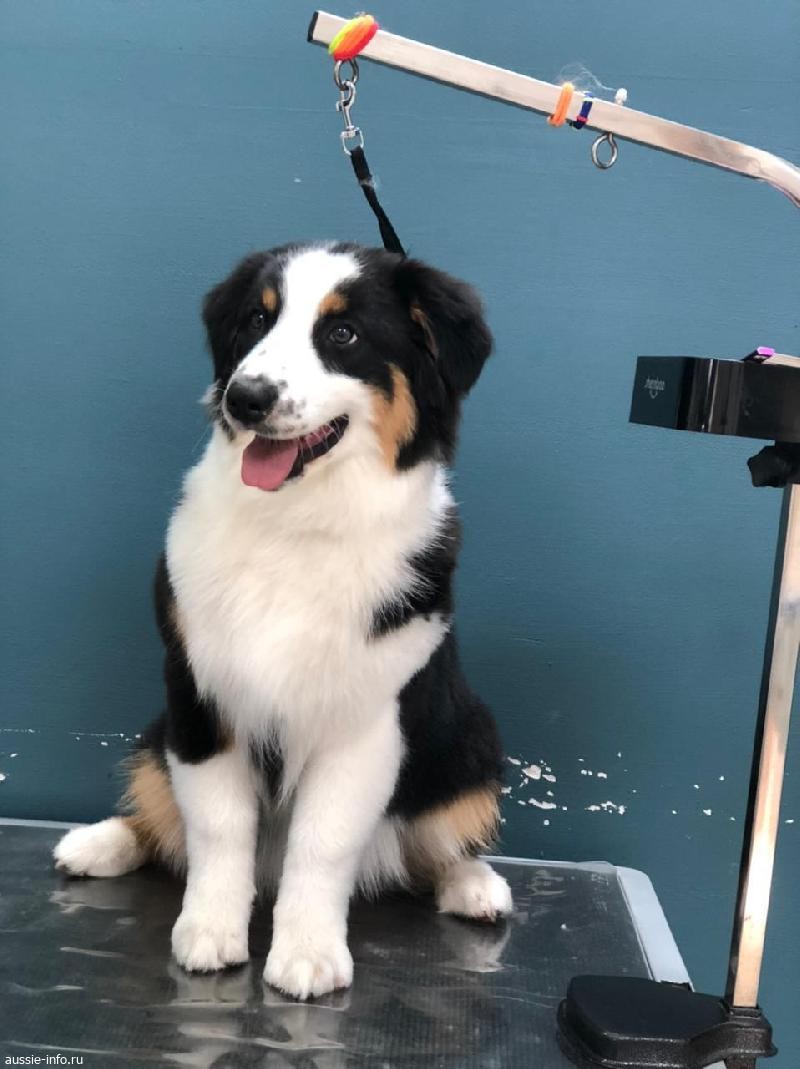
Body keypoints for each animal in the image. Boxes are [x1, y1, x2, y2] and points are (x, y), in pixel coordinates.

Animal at [54, 242, 512, 999]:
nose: (245, 397)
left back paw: (474, 883)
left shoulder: (367, 722)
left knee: (434, 842)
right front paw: (209, 931)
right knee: (157, 802)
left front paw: (308, 953)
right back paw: (99, 842)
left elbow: (323, 840)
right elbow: (216, 824)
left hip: (468, 737)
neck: (298, 525)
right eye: (255, 322)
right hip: (160, 729)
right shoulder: (198, 696)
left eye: (344, 334)